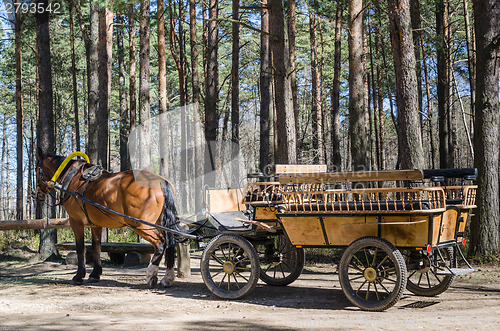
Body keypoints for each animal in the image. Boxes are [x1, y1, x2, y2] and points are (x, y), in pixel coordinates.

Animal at [36, 149, 180, 290]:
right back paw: (168, 278)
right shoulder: (95, 225)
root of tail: (161, 181)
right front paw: (95, 274)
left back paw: (151, 275)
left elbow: (80, 248)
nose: (38, 194)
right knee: (169, 243)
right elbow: (96, 247)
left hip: (141, 225)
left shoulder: (76, 222)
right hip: (160, 223)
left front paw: (79, 276)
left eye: (38, 170)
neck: (73, 178)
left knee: (161, 243)